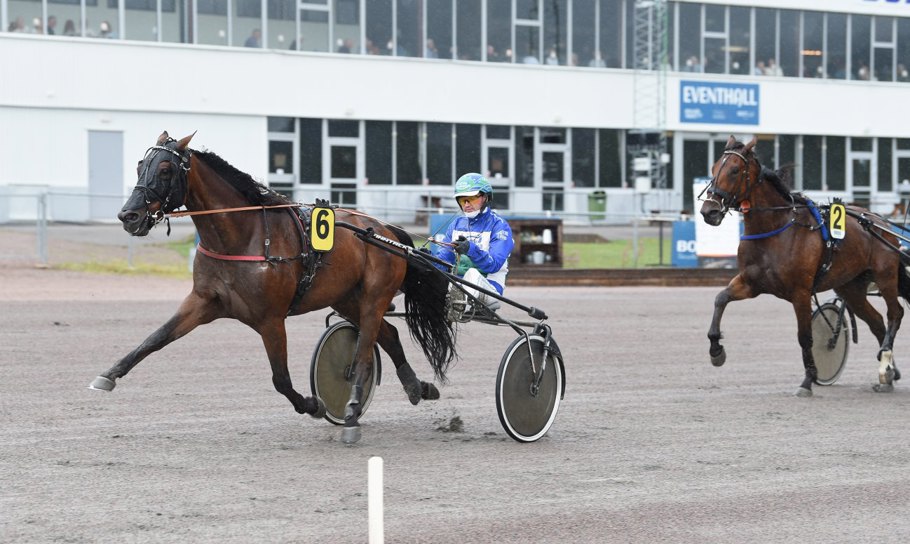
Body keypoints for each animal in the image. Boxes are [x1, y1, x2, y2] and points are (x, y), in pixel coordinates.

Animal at [89, 131, 458, 444]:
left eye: (165, 170)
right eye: (140, 166)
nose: (129, 216)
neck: (243, 235)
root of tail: (387, 231)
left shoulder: (271, 319)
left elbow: (280, 379)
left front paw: (314, 404)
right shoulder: (203, 301)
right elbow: (154, 339)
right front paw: (109, 374)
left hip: (374, 297)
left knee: (364, 355)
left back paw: (352, 414)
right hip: (348, 298)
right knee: (389, 336)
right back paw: (417, 387)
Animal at [699, 135, 909, 396]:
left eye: (735, 170)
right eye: (713, 168)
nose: (709, 211)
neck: (775, 229)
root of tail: (880, 222)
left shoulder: (800, 292)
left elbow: (805, 336)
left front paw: (808, 379)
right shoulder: (750, 283)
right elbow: (720, 299)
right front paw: (716, 350)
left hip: (885, 275)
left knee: (895, 313)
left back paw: (885, 364)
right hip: (850, 287)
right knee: (877, 322)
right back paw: (889, 372)